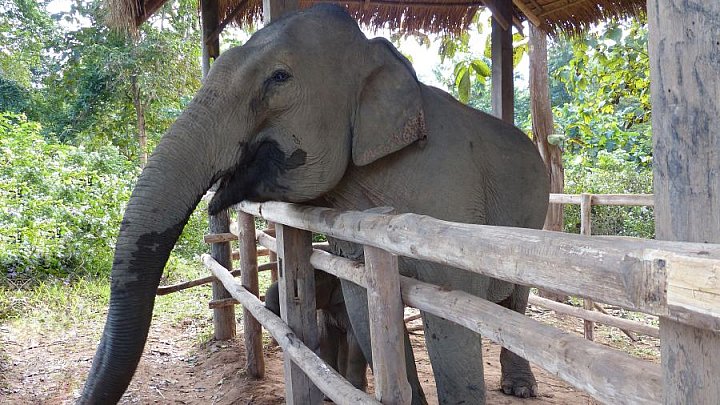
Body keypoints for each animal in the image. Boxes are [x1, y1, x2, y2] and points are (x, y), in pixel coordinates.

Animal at [79, 4, 549, 404]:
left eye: (279, 78)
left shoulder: (448, 192)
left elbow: (453, 320)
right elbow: (366, 309)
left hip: (534, 218)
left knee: (514, 301)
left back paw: (519, 387)